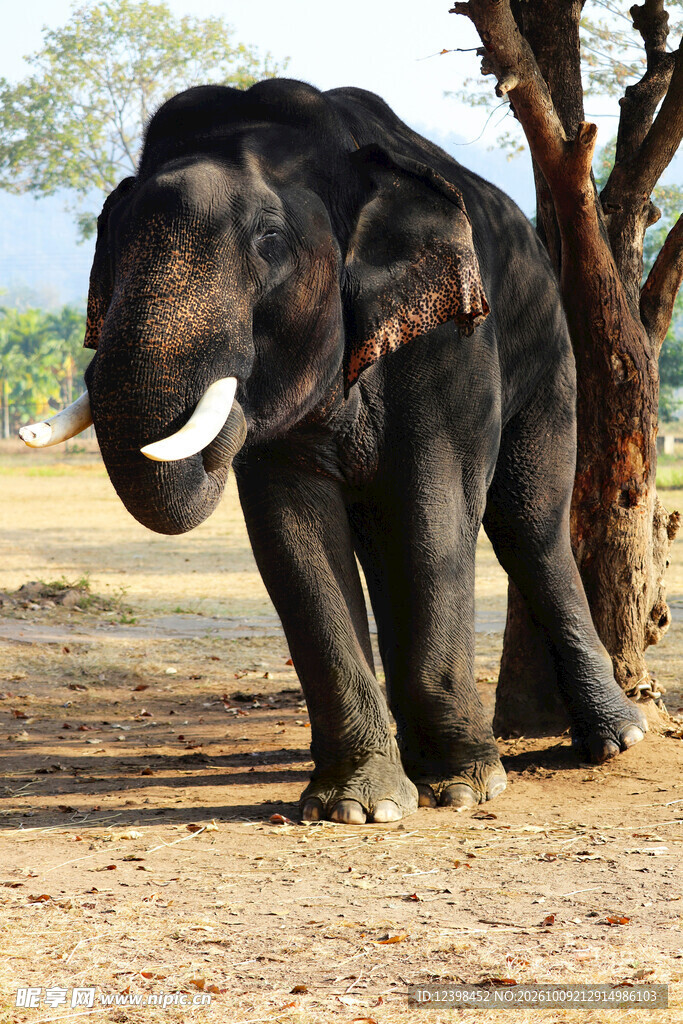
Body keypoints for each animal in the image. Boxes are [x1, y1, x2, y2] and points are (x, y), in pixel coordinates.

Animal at [20, 78, 647, 824]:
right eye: (112, 240)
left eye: (269, 240)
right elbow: (292, 529)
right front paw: (358, 806)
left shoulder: (451, 339)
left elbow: (435, 506)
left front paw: (463, 788)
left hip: (549, 349)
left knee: (527, 523)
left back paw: (616, 739)